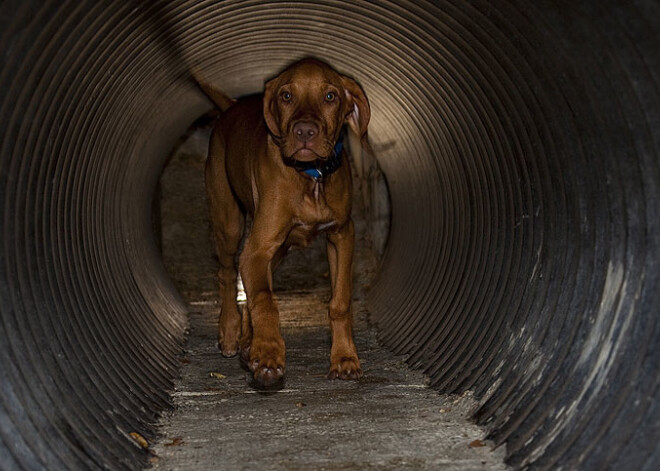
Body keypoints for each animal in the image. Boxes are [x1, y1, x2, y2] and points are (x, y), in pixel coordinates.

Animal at [201, 59, 368, 390]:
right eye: (286, 96)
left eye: (330, 96)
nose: (304, 131)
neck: (311, 177)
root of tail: (231, 107)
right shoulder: (256, 249)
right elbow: (266, 300)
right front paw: (268, 356)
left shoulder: (342, 235)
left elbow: (339, 301)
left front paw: (344, 359)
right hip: (230, 224)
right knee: (227, 272)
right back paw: (231, 333)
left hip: (278, 249)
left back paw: (247, 344)